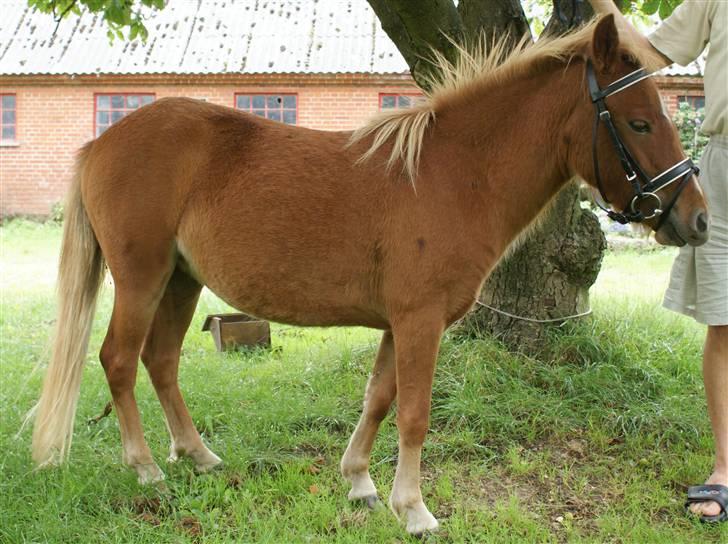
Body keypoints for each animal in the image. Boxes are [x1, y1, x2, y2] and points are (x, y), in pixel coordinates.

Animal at [32, 15, 704, 536]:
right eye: (640, 123)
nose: (695, 219)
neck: (452, 175)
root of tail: (103, 142)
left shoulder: (397, 323)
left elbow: (378, 398)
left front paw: (359, 482)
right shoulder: (420, 322)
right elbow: (414, 413)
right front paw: (416, 510)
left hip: (180, 280)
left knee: (162, 361)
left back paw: (199, 456)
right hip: (142, 279)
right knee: (120, 360)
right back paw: (145, 466)